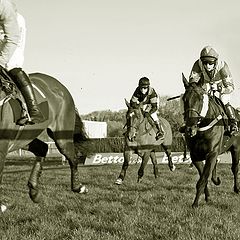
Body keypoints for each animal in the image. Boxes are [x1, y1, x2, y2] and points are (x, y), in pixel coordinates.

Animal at [0, 71, 91, 210]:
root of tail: (60, 86)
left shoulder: (2, 147)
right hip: (24, 138)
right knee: (43, 148)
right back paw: (34, 191)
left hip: (61, 136)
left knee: (72, 157)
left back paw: (78, 187)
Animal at [182, 73, 240, 208]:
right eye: (184, 99)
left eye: (200, 98)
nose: (190, 129)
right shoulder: (195, 156)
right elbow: (203, 176)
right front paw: (207, 197)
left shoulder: (212, 153)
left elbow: (203, 179)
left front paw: (195, 203)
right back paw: (216, 179)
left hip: (236, 149)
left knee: (235, 168)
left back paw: (236, 189)